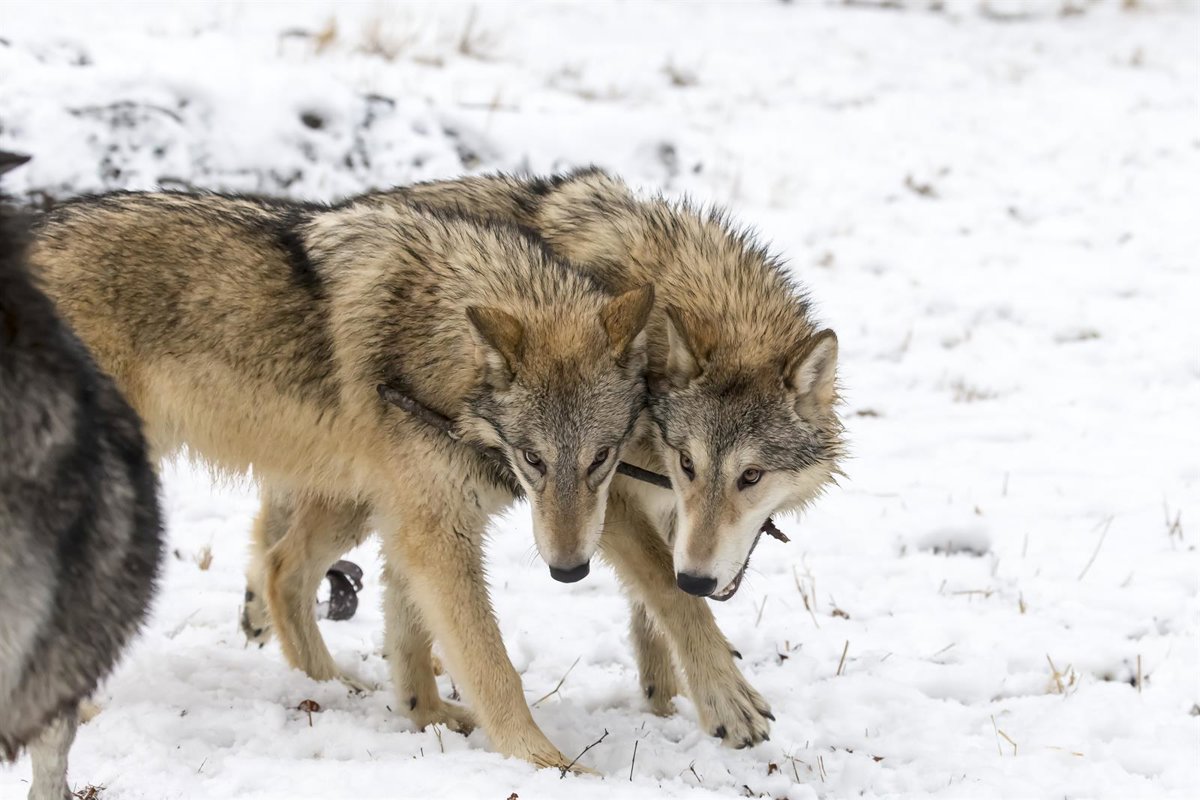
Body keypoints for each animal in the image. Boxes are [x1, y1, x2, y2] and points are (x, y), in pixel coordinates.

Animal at [28, 190, 654, 770]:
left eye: (601, 458)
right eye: (533, 459)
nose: (569, 571)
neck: (438, 344)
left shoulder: (415, 522)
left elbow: (409, 639)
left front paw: (427, 717)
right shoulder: (435, 531)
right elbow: (492, 667)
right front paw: (547, 762)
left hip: (349, 500)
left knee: (281, 568)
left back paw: (330, 688)